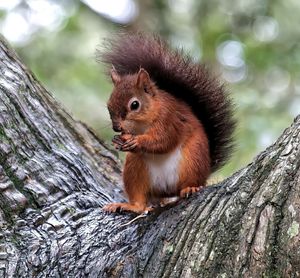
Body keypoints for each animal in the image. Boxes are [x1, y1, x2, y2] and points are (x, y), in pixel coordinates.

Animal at [97, 33, 236, 214]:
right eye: (109, 105)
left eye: (134, 105)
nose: (116, 127)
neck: (142, 125)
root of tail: (166, 190)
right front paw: (117, 140)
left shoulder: (169, 119)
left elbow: (164, 140)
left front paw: (137, 141)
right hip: (134, 168)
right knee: (140, 201)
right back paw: (129, 206)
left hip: (193, 159)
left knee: (190, 182)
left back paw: (190, 188)